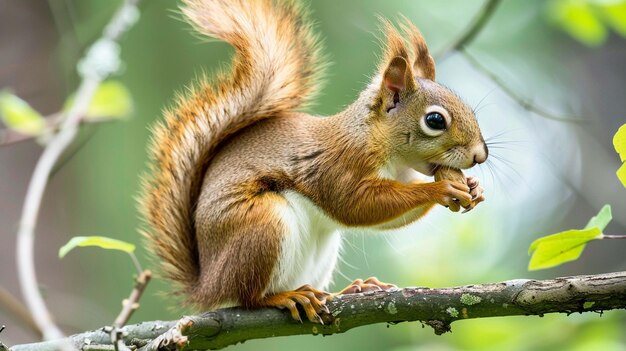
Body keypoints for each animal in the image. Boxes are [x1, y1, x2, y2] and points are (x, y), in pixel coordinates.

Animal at [138, 0, 488, 324]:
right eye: (434, 120)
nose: (480, 156)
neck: (383, 148)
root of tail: (208, 284)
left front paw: (473, 187)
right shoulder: (338, 165)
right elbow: (356, 205)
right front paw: (441, 189)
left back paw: (350, 289)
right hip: (261, 227)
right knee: (248, 297)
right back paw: (284, 297)